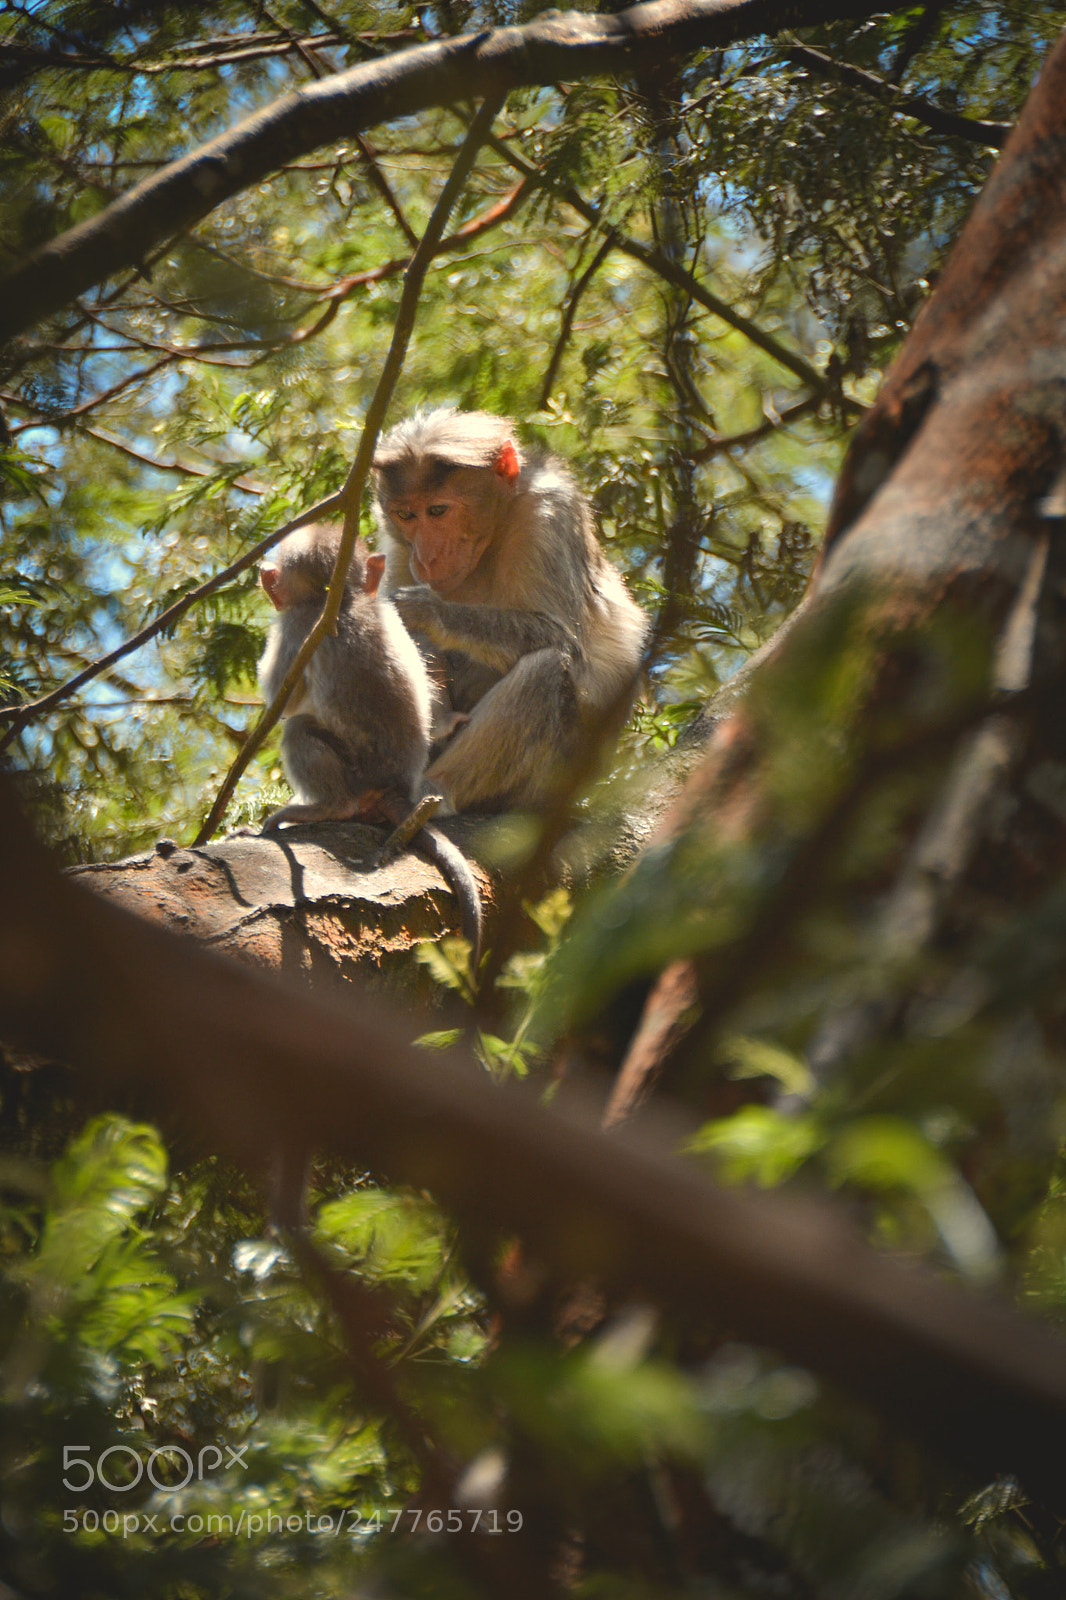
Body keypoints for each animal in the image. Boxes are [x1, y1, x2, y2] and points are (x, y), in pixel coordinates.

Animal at [256, 522, 483, 960]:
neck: (341, 601)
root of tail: (395, 787)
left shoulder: (297, 625)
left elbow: (284, 701)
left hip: (357, 775)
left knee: (299, 730)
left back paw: (325, 807)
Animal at [372, 409, 648, 814]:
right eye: (406, 515)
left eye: (437, 510)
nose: (425, 558)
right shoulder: (396, 546)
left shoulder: (547, 514)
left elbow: (564, 640)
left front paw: (428, 612)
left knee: (547, 668)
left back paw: (436, 786)